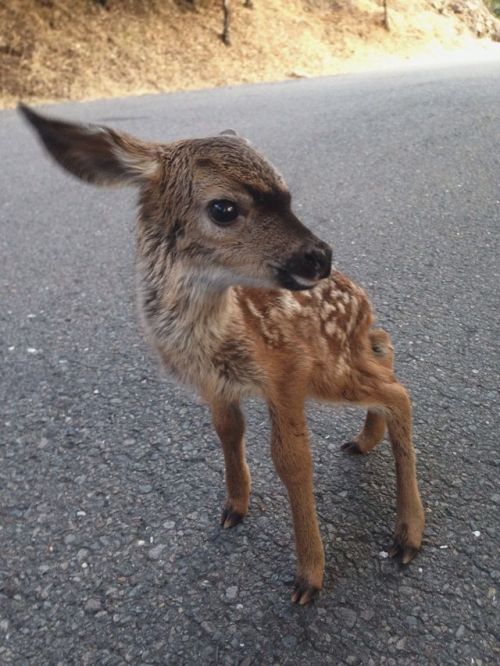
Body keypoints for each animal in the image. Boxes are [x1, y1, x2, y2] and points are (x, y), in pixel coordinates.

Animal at [21, 102, 424, 600]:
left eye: (288, 195)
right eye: (224, 208)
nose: (320, 257)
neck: (217, 335)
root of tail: (362, 300)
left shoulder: (286, 371)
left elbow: (292, 461)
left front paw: (309, 576)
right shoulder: (216, 384)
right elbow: (228, 432)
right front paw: (234, 506)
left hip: (328, 367)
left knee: (398, 391)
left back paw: (407, 534)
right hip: (341, 359)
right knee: (384, 353)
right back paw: (365, 441)